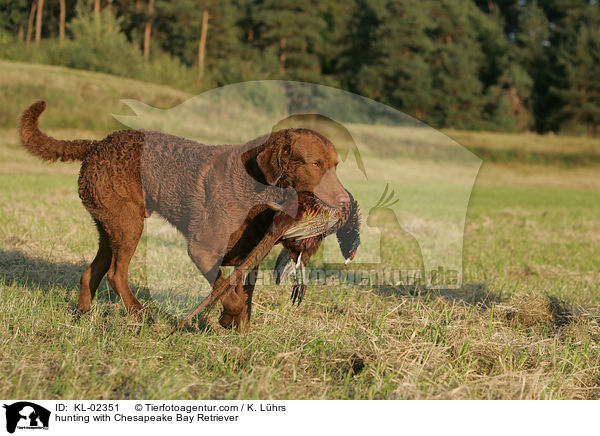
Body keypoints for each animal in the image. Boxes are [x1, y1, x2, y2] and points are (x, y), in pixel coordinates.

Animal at [19, 99, 352, 330]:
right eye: (315, 164)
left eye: (336, 165)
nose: (345, 201)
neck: (253, 187)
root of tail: (96, 145)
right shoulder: (202, 249)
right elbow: (229, 293)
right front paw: (227, 318)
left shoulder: (250, 258)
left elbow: (242, 294)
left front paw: (240, 332)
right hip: (129, 224)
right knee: (116, 274)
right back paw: (141, 314)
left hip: (110, 226)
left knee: (92, 272)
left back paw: (82, 317)